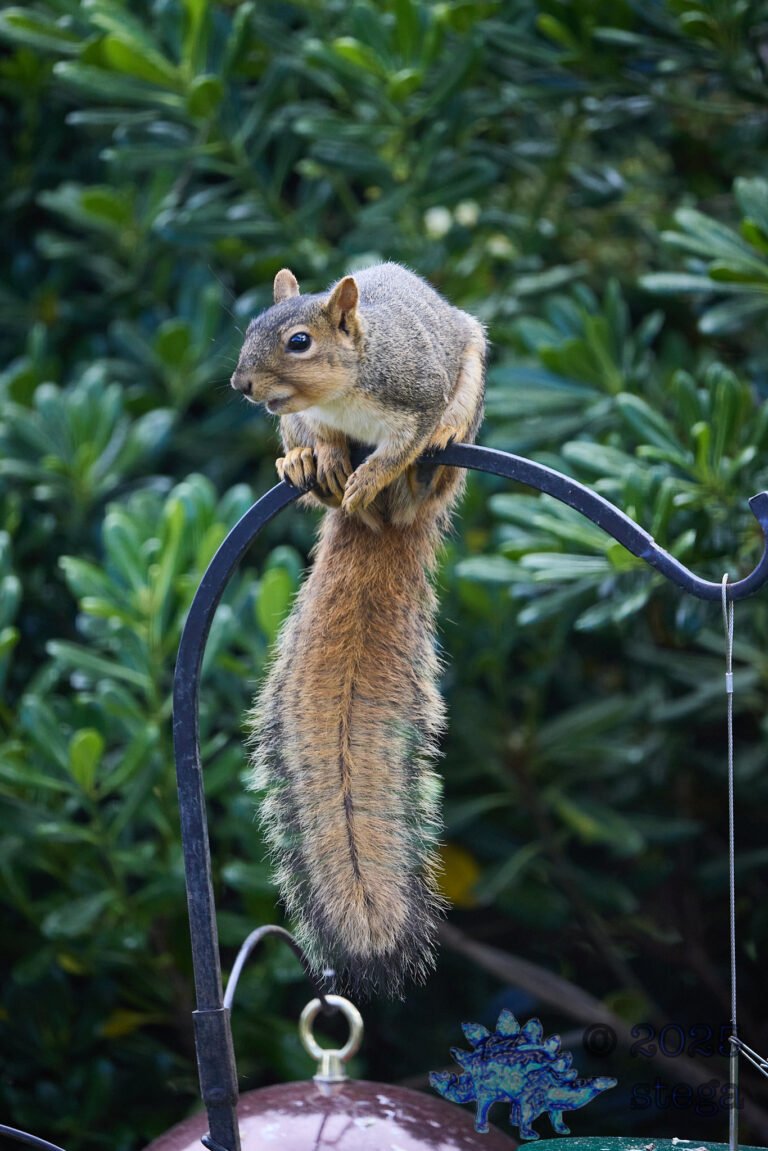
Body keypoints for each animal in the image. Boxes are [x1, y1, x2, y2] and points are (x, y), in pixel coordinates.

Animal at [231, 262, 486, 996]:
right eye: (250, 328)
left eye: (298, 341)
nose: (241, 384)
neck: (343, 393)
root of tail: (388, 525)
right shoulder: (301, 417)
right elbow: (310, 432)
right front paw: (320, 459)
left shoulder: (414, 388)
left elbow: (406, 440)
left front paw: (373, 471)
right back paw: (312, 471)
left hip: (467, 387)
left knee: (430, 461)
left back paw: (409, 473)